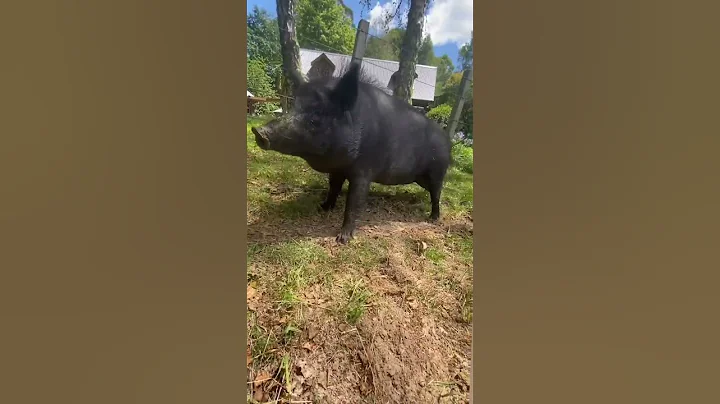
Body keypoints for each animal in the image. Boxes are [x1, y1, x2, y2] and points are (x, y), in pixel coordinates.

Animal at [251, 63, 452, 244]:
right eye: (294, 107)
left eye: (316, 116)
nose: (258, 131)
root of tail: (448, 141)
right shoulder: (337, 170)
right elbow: (333, 188)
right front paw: (322, 207)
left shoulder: (364, 172)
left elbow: (353, 203)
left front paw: (342, 239)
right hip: (421, 177)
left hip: (438, 171)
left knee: (437, 194)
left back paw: (433, 218)